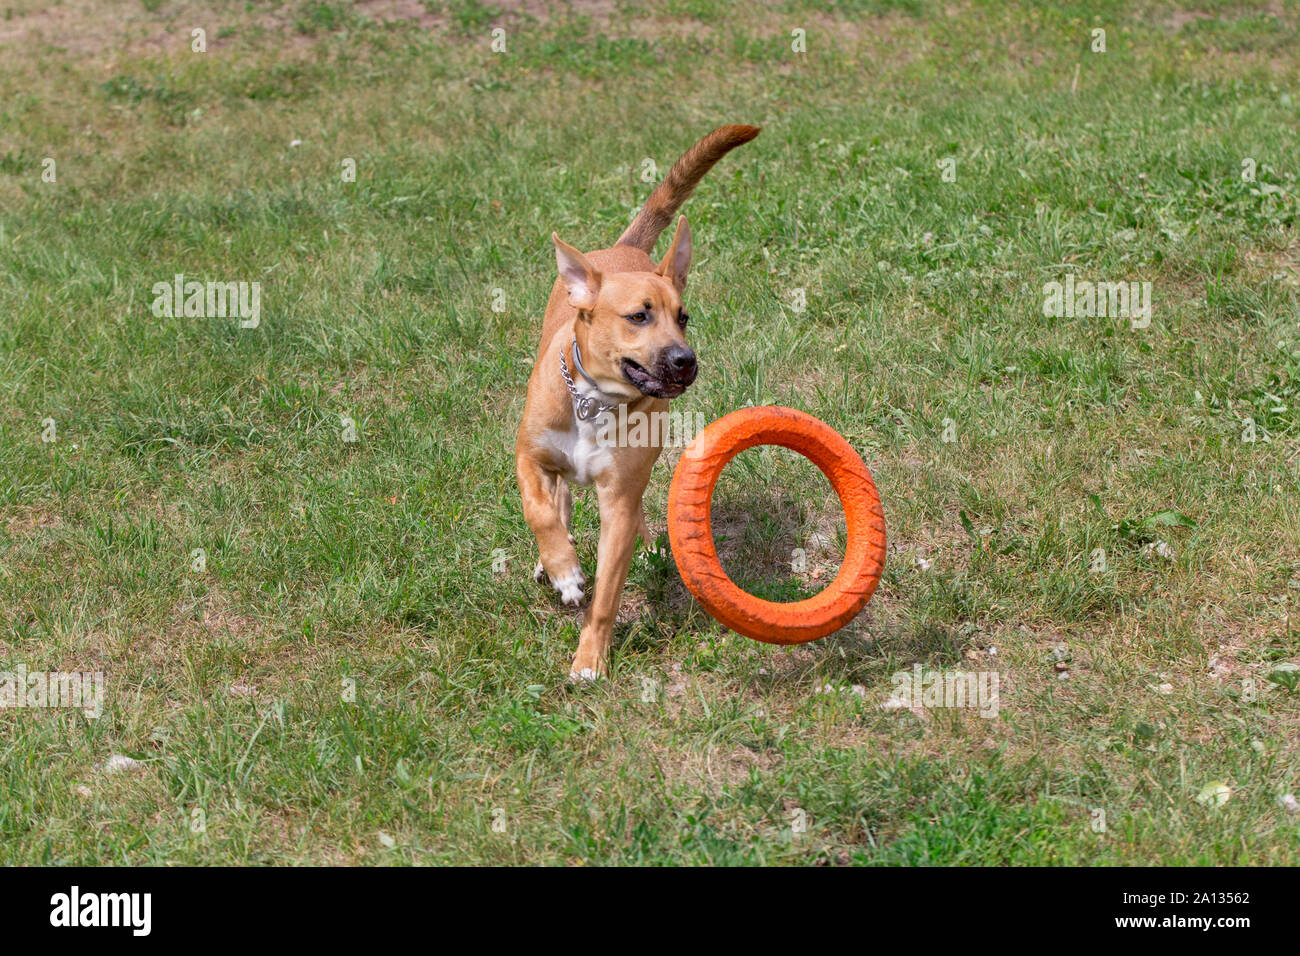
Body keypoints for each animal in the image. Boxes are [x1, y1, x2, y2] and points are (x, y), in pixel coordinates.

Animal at [514, 125, 759, 681]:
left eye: (683, 317)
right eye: (638, 316)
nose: (685, 361)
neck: (594, 402)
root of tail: (621, 249)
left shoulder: (619, 500)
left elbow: (606, 594)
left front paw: (590, 658)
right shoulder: (528, 455)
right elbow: (539, 510)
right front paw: (563, 569)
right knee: (558, 499)